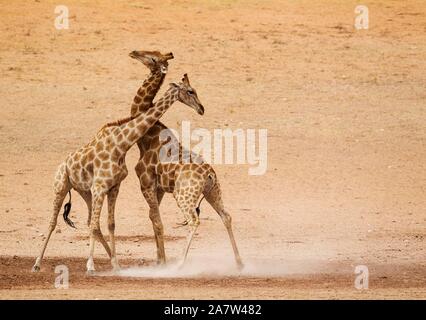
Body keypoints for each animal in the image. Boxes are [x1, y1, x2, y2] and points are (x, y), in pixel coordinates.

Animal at [30, 71, 204, 274]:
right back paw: (37, 263)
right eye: (190, 91)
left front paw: (115, 263)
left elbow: (109, 224)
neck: (121, 144)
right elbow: (96, 224)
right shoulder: (100, 187)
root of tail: (62, 164)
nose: (201, 109)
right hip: (61, 187)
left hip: (85, 192)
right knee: (53, 223)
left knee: (92, 222)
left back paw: (111, 259)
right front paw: (90, 265)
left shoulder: (112, 187)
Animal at [133, 76, 243, 268]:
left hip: (183, 195)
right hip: (213, 191)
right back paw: (239, 263)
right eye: (191, 91)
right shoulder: (159, 188)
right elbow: (153, 218)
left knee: (194, 220)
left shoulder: (145, 183)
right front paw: (159, 260)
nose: (201, 108)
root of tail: (209, 174)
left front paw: (162, 262)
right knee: (226, 216)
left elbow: (157, 220)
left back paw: (180, 264)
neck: (147, 138)